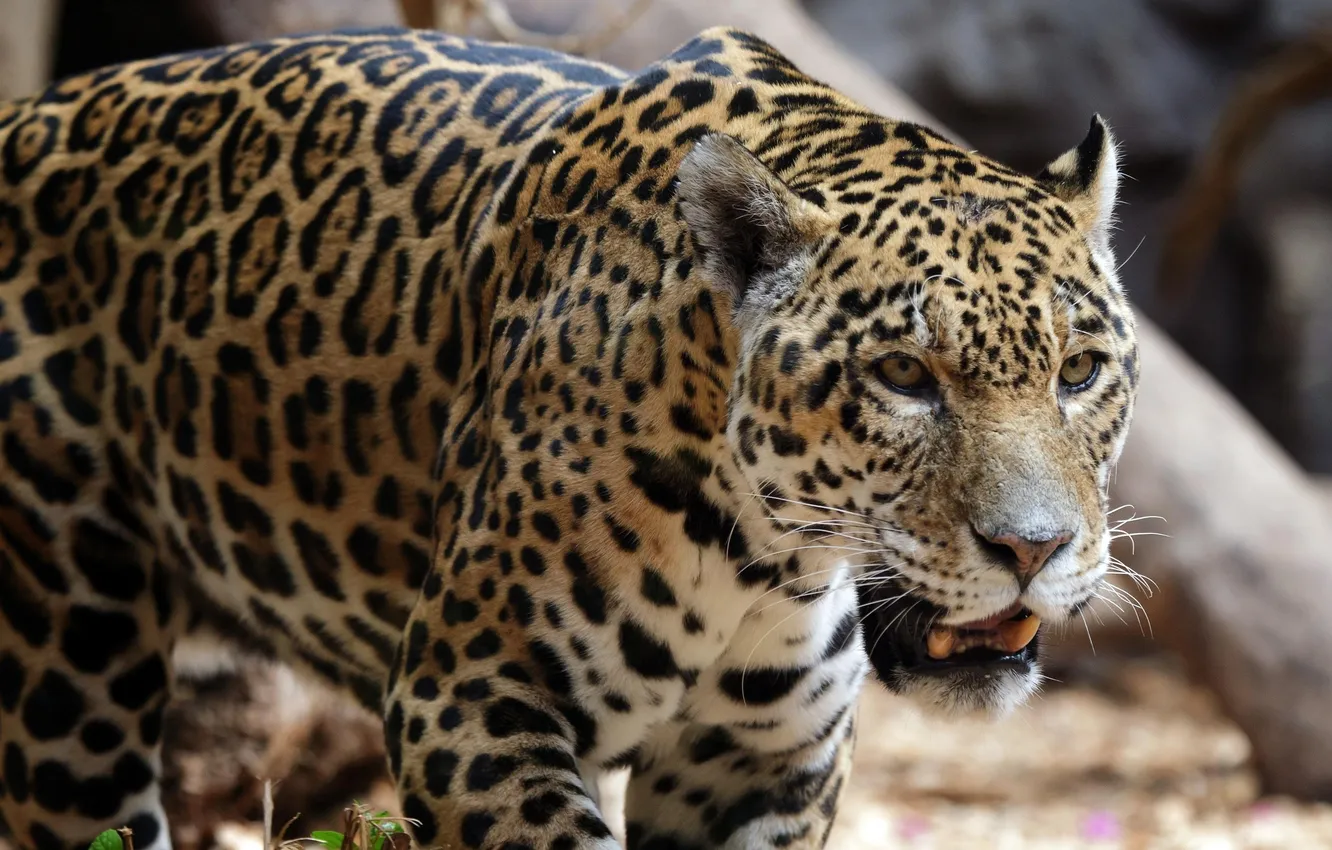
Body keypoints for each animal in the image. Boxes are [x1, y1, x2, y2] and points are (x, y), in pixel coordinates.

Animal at [0, 24, 1139, 850]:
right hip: (71, 672)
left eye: (1078, 370)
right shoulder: (467, 696)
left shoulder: (757, 760)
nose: (1033, 549)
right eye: (904, 375)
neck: (761, 553)